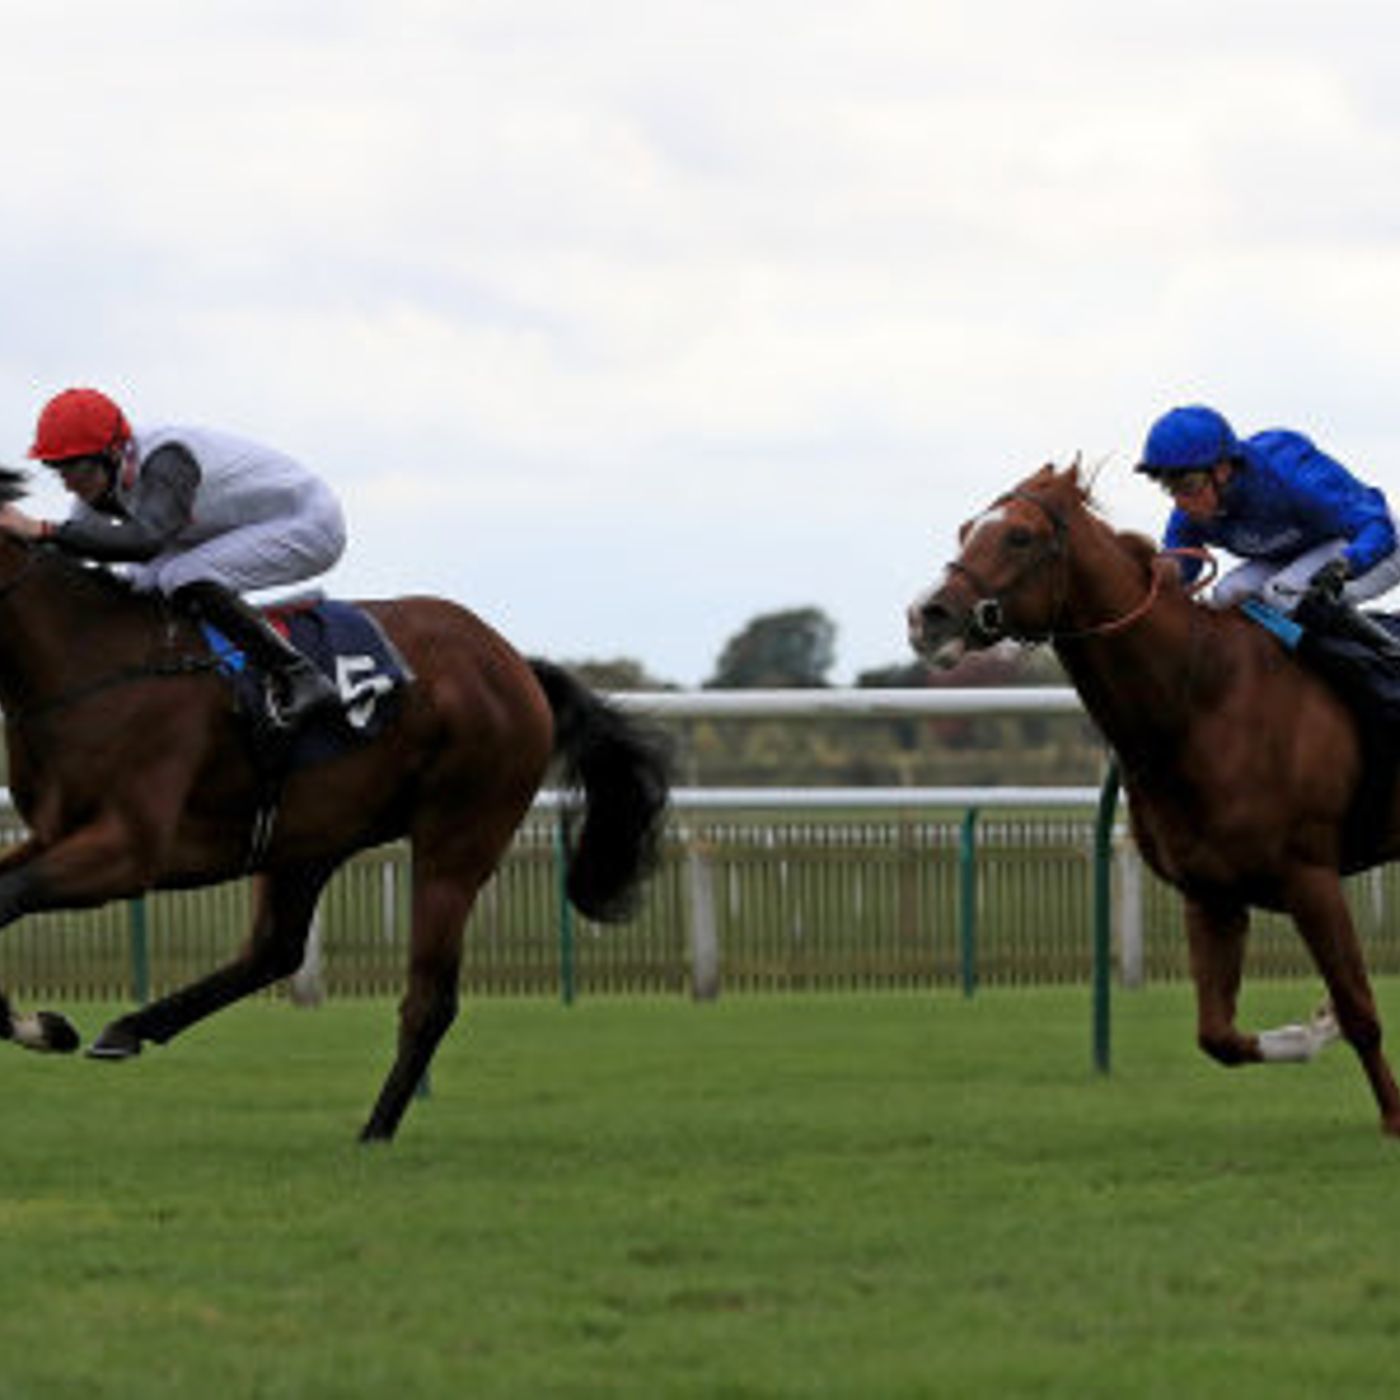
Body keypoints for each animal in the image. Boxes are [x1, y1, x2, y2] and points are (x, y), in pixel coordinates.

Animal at [0, 467, 670, 1142]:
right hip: (309, 835)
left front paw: (38, 1025)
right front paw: (40, 1025)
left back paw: (375, 1131)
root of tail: (517, 665)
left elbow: (9, 895)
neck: (90, 661)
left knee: (429, 999)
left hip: (457, 839)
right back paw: (130, 1028)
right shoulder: (54, 833)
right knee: (275, 949)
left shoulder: (131, 849)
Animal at [906, 461, 1400, 1136]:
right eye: (965, 529)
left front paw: (1391, 1114)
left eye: (1020, 537)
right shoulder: (1211, 892)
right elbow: (1217, 1035)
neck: (1200, 699)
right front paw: (1309, 1031)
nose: (926, 616)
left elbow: (1361, 1012)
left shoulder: (1312, 878)